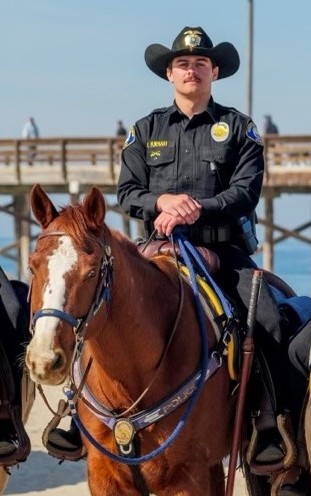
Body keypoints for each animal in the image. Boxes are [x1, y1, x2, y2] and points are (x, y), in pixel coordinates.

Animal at [24, 185, 255, 496]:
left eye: (92, 271)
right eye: (32, 266)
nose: (44, 360)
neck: (132, 381)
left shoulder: (188, 478)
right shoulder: (102, 476)